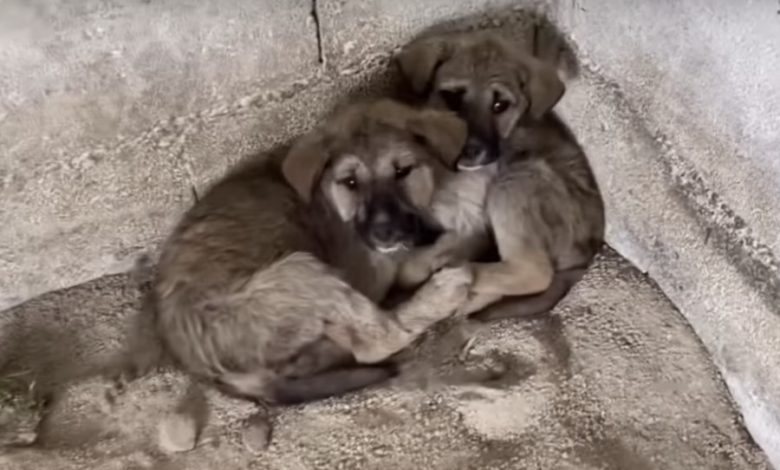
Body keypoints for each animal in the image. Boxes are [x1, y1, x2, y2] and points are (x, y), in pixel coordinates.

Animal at [394, 32, 608, 320]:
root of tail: (587, 255)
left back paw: (460, 278)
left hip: (516, 181)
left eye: (499, 105)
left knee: (534, 272)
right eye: (452, 98)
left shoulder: (476, 223)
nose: (468, 150)